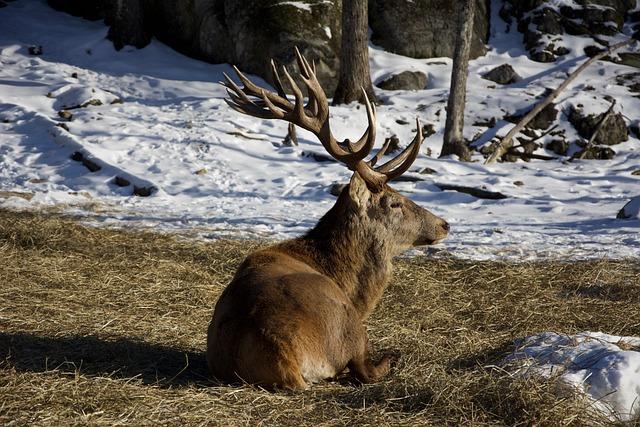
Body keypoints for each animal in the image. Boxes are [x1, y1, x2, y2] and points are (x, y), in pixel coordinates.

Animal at [206, 48, 450, 390]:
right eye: (394, 202)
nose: (444, 224)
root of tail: (285, 357)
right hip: (347, 325)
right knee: (364, 370)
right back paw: (392, 357)